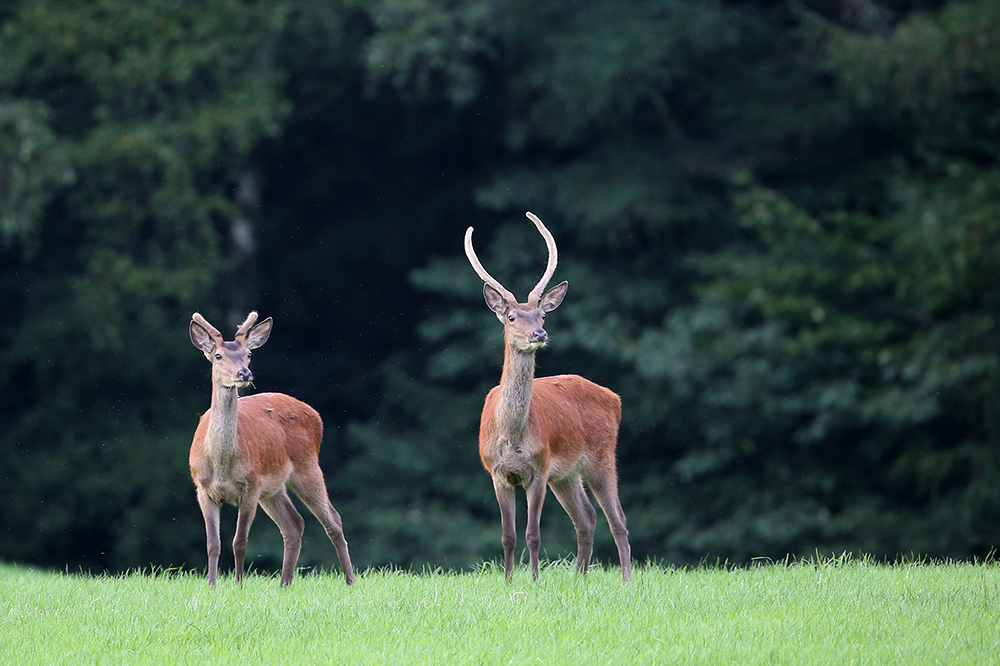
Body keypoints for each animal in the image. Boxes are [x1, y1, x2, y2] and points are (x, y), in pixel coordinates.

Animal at [188, 308, 356, 584]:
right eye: (218, 355)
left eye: (249, 354)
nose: (244, 374)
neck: (221, 465)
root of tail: (316, 415)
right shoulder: (202, 488)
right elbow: (213, 544)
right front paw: (212, 586)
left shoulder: (251, 485)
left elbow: (239, 542)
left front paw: (238, 585)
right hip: (274, 488)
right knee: (294, 523)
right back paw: (284, 584)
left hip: (307, 465)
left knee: (333, 519)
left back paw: (350, 581)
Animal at [462, 214, 632, 580]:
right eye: (512, 317)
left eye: (542, 315)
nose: (539, 334)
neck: (511, 436)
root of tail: (614, 398)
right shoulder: (497, 472)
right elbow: (508, 535)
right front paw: (509, 580)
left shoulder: (539, 468)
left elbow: (533, 533)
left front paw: (535, 579)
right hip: (567, 474)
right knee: (587, 517)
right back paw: (581, 577)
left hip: (601, 455)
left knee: (618, 519)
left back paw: (628, 580)